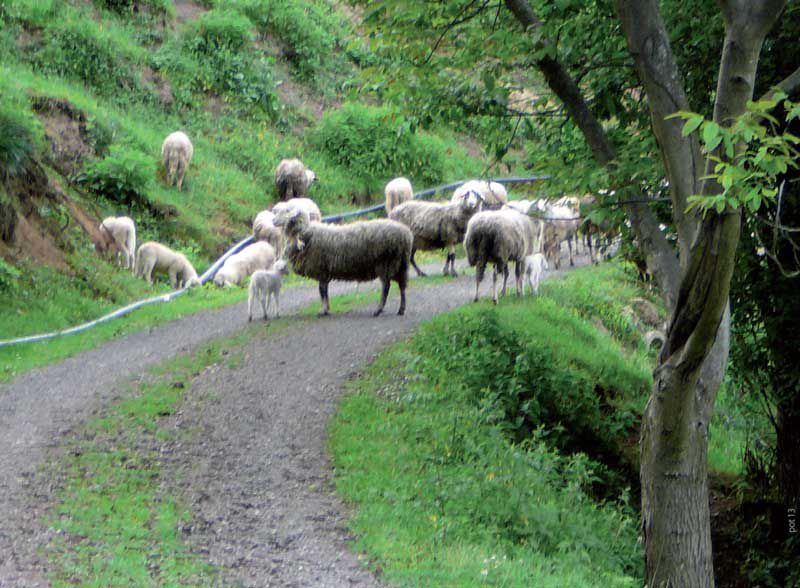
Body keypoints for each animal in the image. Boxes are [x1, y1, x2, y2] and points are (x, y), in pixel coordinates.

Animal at [274, 208, 412, 316]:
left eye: (286, 210)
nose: (273, 221)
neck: (306, 234)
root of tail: (406, 234)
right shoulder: (325, 272)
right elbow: (324, 291)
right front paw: (327, 309)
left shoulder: (321, 270)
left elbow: (321, 291)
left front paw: (323, 310)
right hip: (401, 264)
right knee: (402, 286)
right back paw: (401, 309)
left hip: (386, 263)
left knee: (386, 287)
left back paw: (378, 310)